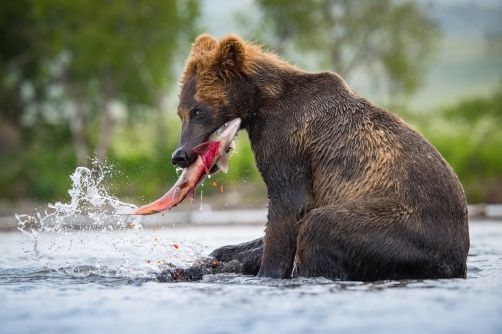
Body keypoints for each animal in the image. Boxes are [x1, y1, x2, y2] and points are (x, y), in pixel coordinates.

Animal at [170, 34, 470, 280]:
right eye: (181, 112)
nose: (180, 155)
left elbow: (288, 205)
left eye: (199, 111)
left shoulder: (287, 140)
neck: (261, 104)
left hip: (401, 226)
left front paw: (267, 273)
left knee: (321, 227)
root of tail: (458, 259)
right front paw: (223, 255)